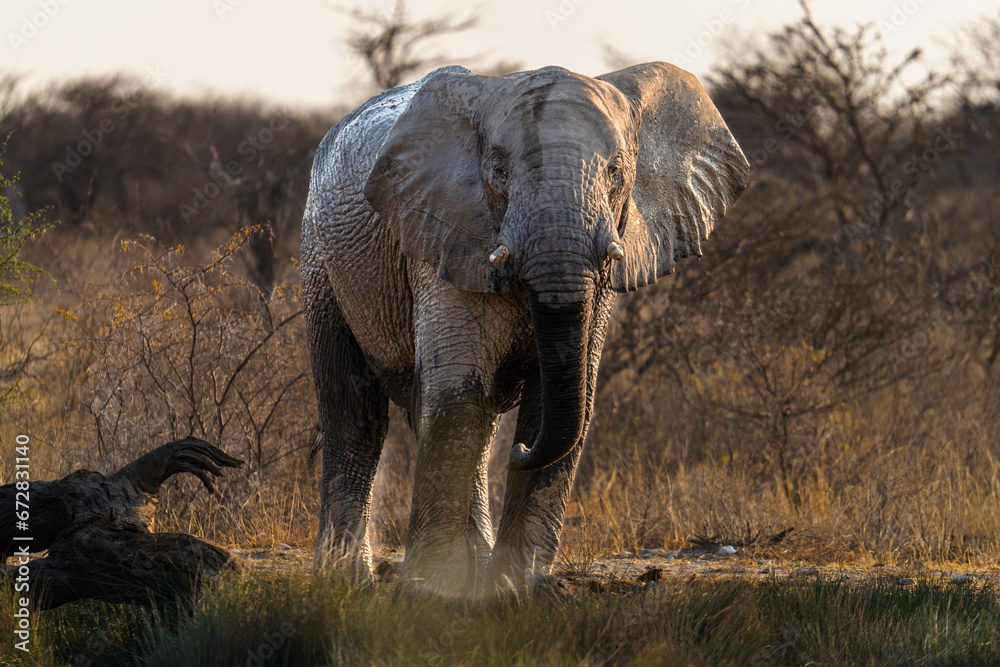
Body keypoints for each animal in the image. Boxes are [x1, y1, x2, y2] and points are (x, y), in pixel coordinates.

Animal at [300, 61, 749, 598]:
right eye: (498, 171)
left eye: (616, 173)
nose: (519, 454)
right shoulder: (444, 232)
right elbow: (456, 395)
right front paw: (430, 592)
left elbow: (558, 400)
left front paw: (517, 591)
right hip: (321, 261)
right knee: (356, 412)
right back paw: (346, 581)